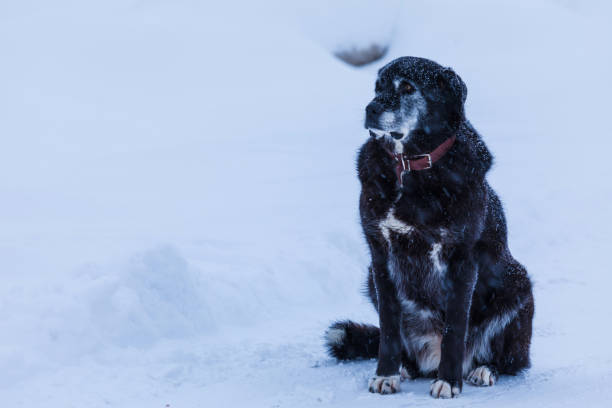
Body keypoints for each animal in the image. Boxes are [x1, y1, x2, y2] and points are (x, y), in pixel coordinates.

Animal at [328, 57, 532, 398]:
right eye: (378, 87)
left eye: (408, 87)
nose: (370, 108)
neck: (411, 165)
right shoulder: (380, 258)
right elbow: (388, 327)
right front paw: (386, 374)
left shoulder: (462, 259)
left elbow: (455, 328)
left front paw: (449, 381)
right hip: (370, 279)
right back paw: (406, 368)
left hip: (518, 286)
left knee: (511, 360)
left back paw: (482, 370)